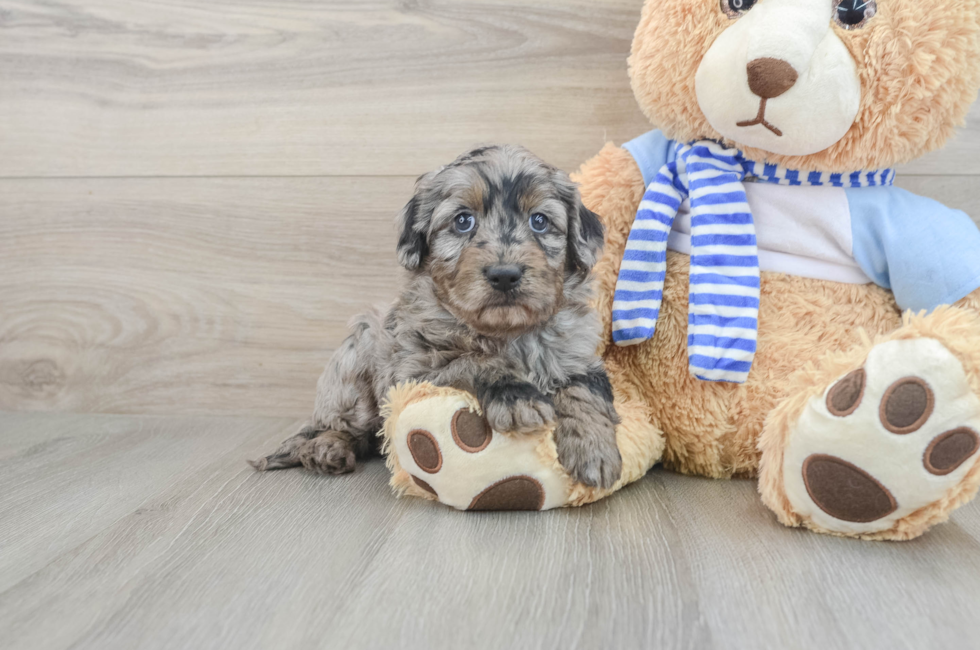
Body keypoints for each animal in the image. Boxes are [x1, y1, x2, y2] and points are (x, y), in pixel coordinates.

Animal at [251, 143, 620, 486]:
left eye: (540, 221)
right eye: (463, 221)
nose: (505, 275)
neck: (508, 331)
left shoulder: (578, 355)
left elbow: (584, 390)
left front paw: (595, 448)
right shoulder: (413, 372)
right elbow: (474, 361)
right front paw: (517, 395)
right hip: (355, 361)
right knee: (336, 427)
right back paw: (328, 448)